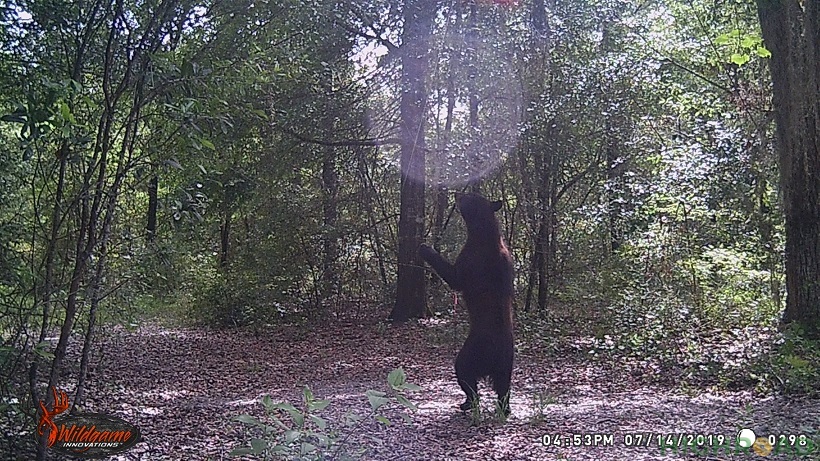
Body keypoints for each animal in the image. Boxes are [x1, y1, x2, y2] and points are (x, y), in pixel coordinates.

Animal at [422, 190, 512, 414]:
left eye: (470, 196)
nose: (458, 193)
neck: (483, 234)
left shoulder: (470, 259)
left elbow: (453, 276)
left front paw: (425, 247)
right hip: (507, 364)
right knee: (504, 387)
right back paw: (503, 408)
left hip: (474, 352)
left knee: (464, 373)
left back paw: (467, 403)